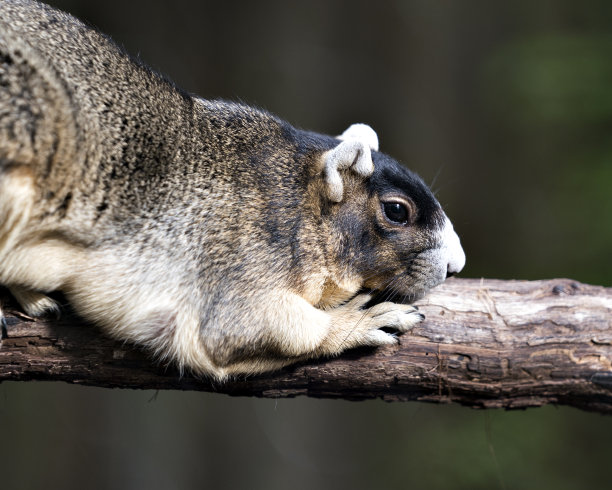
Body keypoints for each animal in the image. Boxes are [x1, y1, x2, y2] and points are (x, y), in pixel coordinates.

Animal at [1, 0, 464, 378]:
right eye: (397, 211)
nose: (456, 265)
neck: (299, 198)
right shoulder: (233, 267)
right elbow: (253, 330)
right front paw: (360, 320)